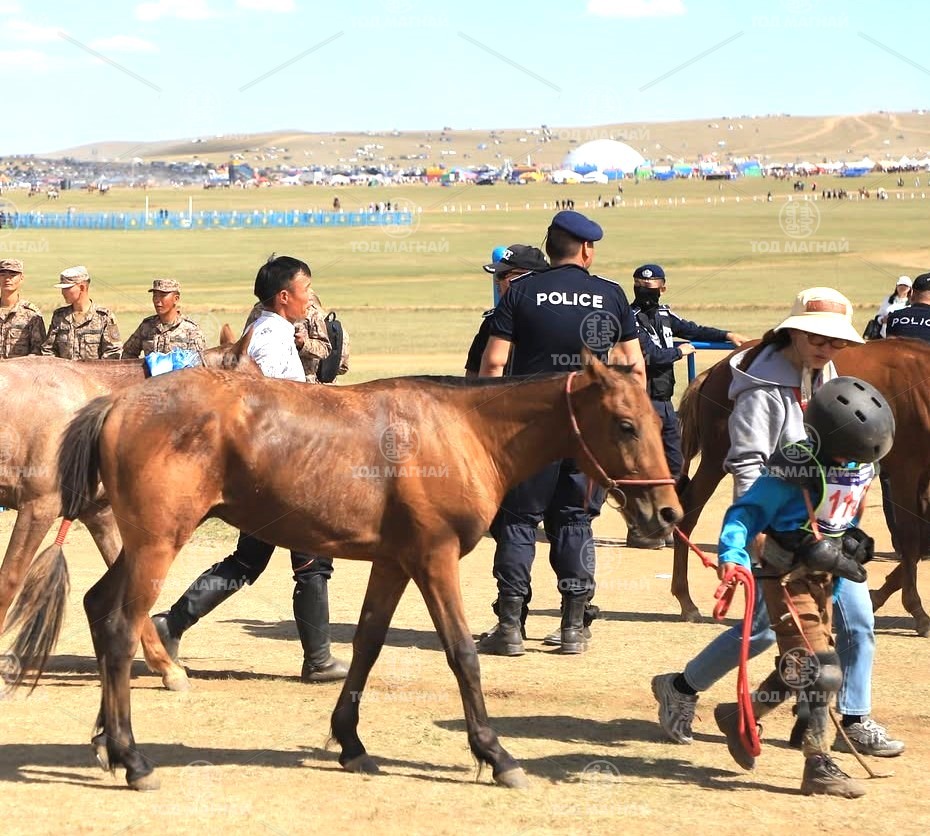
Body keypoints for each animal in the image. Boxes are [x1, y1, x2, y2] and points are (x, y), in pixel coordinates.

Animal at [28, 352, 681, 791]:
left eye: (654, 419)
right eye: (625, 424)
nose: (668, 513)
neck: (463, 431)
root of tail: (119, 401)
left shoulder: (393, 563)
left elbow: (367, 645)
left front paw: (350, 741)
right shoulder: (434, 560)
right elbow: (463, 655)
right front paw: (497, 756)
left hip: (141, 545)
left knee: (98, 609)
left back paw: (104, 742)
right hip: (158, 544)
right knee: (120, 627)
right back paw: (133, 757)